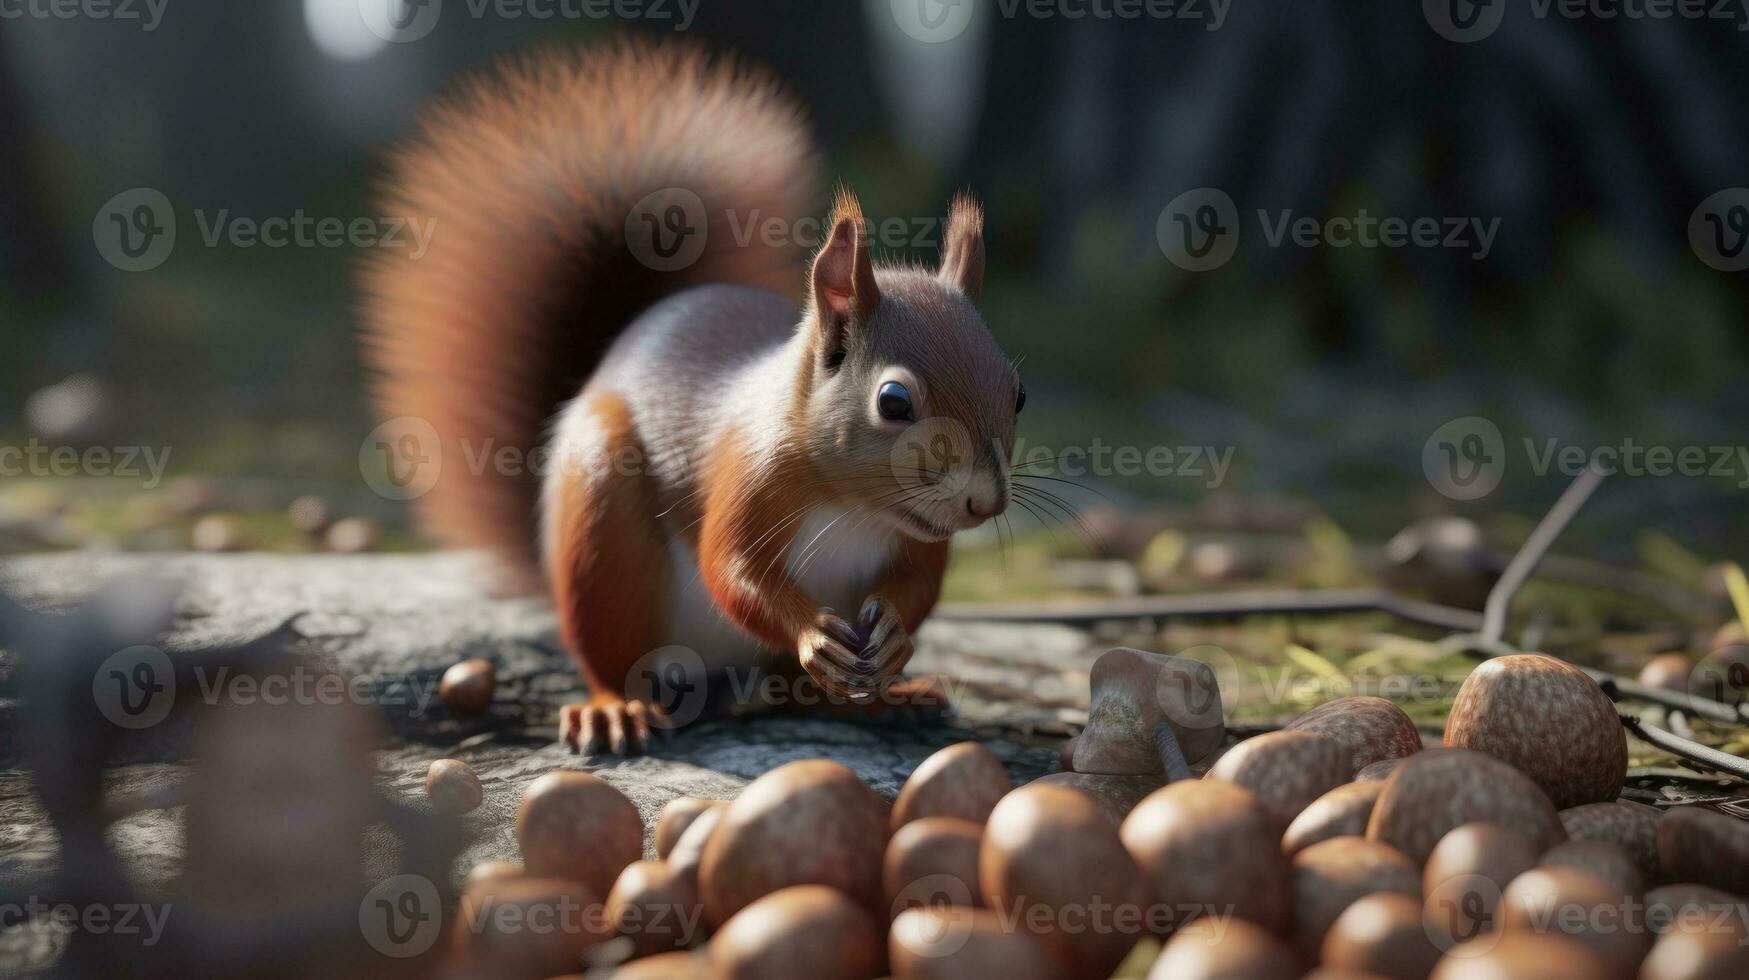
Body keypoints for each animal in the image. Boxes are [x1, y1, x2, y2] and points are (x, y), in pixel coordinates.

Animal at [362, 40, 1021, 759]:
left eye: (1017, 392)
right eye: (894, 401)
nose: (984, 503)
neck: (855, 505)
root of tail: (709, 676)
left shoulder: (920, 537)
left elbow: (919, 587)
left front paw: (897, 634)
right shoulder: (747, 474)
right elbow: (729, 569)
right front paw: (812, 633)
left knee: (800, 694)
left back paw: (887, 701)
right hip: (603, 527)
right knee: (613, 654)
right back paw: (613, 710)